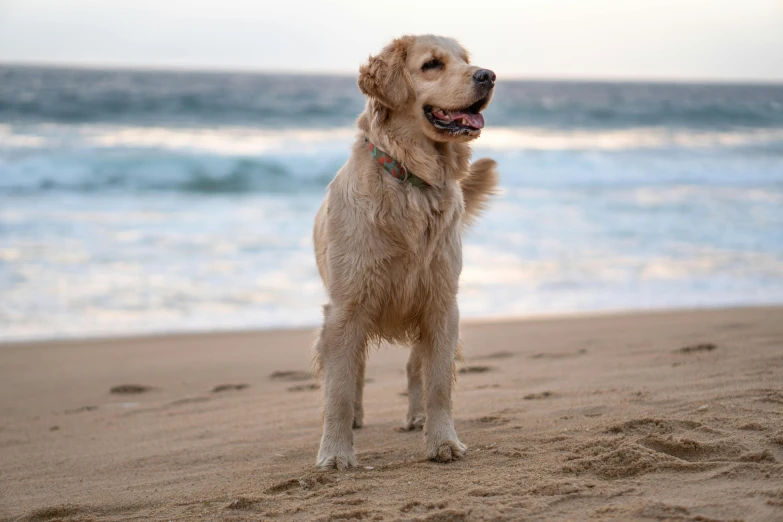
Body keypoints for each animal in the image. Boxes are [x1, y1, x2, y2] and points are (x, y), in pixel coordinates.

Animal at [310, 35, 496, 468]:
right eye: (432, 65)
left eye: (466, 60)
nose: (488, 75)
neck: (412, 180)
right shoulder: (345, 309)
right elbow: (339, 388)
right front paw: (336, 453)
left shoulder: (441, 305)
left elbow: (438, 383)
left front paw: (443, 440)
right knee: (356, 372)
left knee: (416, 369)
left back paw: (417, 417)